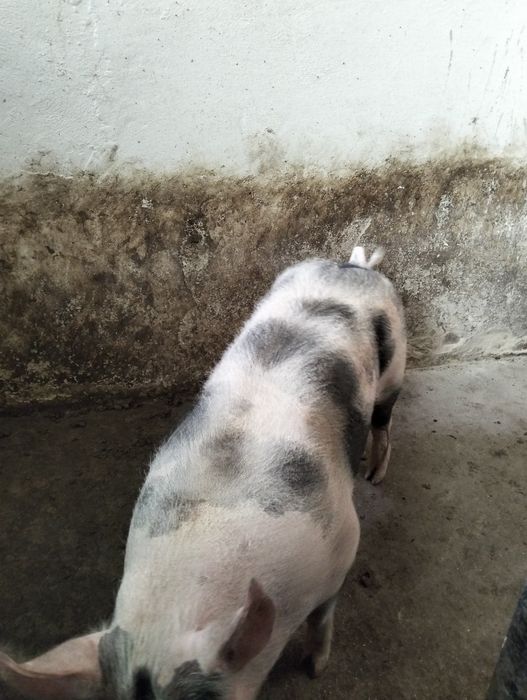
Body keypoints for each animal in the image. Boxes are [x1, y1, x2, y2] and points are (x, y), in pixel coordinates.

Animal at [0, 247, 406, 700]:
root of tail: (352, 265)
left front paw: (315, 669)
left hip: (395, 360)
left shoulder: (344, 544)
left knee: (384, 417)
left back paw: (375, 474)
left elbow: (323, 618)